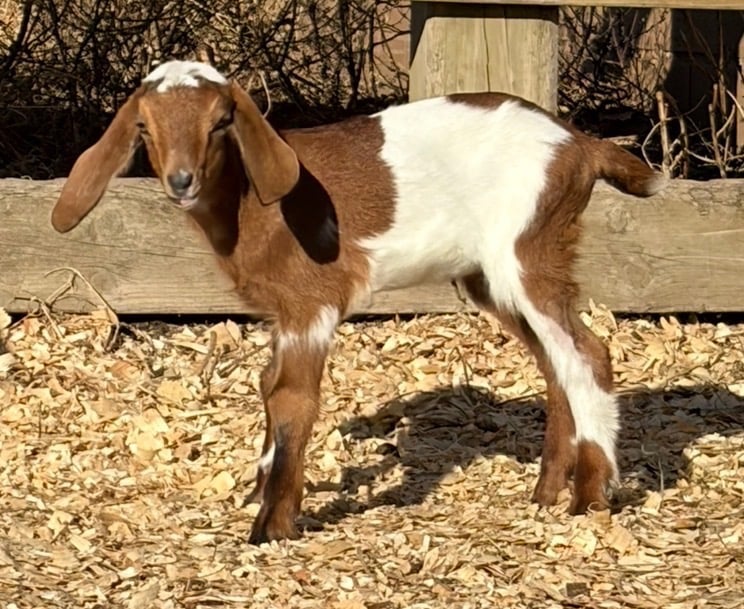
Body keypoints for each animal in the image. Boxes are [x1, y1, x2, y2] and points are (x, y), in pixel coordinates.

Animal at [51, 60, 666, 544]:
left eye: (221, 121)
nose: (182, 180)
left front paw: (271, 525)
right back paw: (546, 491)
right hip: (491, 275)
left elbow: (292, 398)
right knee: (555, 360)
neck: (250, 204)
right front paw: (261, 491)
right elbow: (267, 386)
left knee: (586, 352)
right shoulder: (281, 315)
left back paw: (590, 497)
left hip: (528, 248)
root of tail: (581, 145)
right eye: (144, 126)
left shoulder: (311, 303)